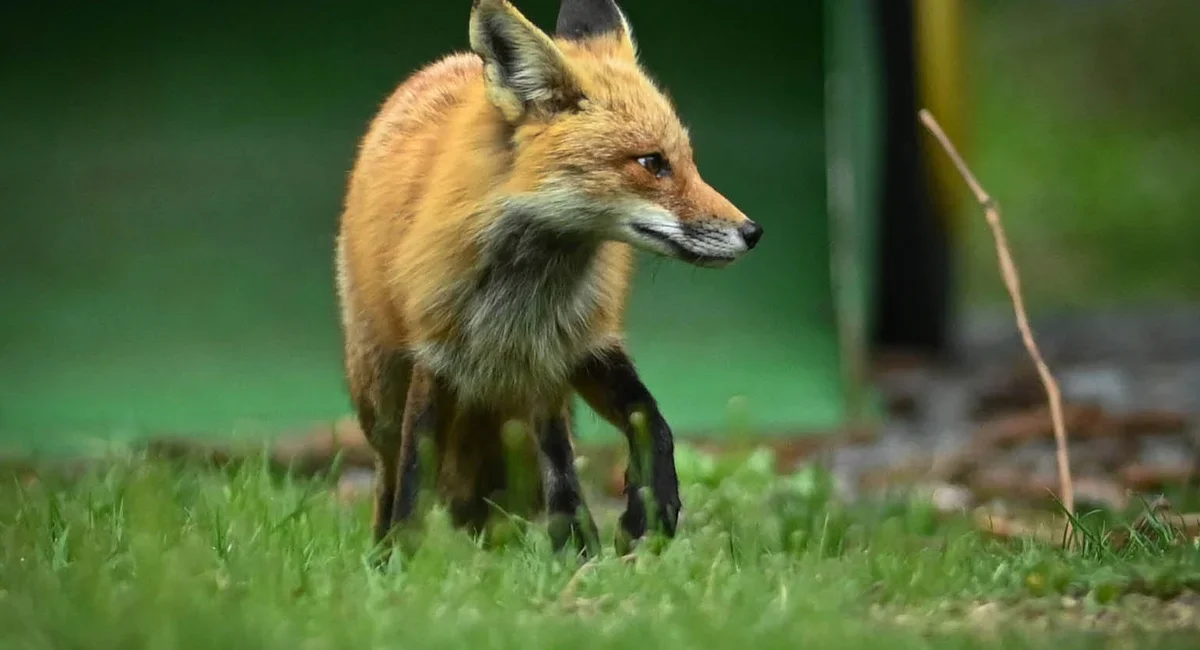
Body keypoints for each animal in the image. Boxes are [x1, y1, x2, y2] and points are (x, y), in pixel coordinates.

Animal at [335, 0, 763, 556]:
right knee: (388, 470)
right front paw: (401, 561)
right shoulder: (438, 353)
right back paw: (385, 546)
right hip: (380, 389)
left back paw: (575, 547)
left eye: (688, 161)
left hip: (545, 380)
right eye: (652, 162)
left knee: (557, 462)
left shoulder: (579, 342)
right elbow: (413, 476)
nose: (751, 232)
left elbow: (651, 423)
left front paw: (650, 510)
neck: (524, 291)